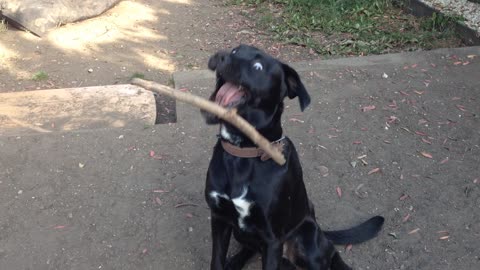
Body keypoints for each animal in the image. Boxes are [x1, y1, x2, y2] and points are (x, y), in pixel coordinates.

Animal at [201, 45, 384, 268]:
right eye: (235, 50)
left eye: (258, 66)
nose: (220, 55)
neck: (244, 153)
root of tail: (320, 229)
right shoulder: (219, 219)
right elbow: (216, 261)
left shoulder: (272, 240)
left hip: (306, 241)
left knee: (331, 254)